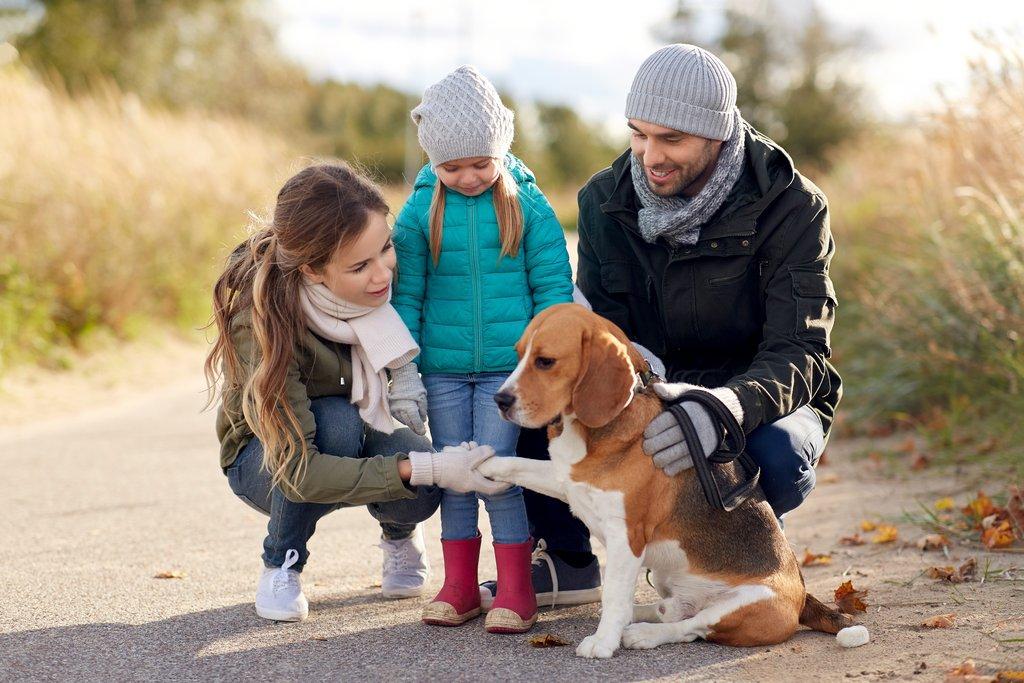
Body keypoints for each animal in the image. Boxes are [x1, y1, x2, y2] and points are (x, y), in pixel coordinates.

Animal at [475, 305, 860, 655]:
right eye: (519, 355)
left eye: (545, 361)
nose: (500, 400)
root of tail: (802, 596)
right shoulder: (568, 480)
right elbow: (519, 466)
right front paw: (479, 464)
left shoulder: (625, 537)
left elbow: (614, 595)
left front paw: (603, 642)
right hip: (664, 575)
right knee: (672, 611)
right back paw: (643, 616)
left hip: (750, 601)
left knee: (691, 628)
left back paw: (641, 634)